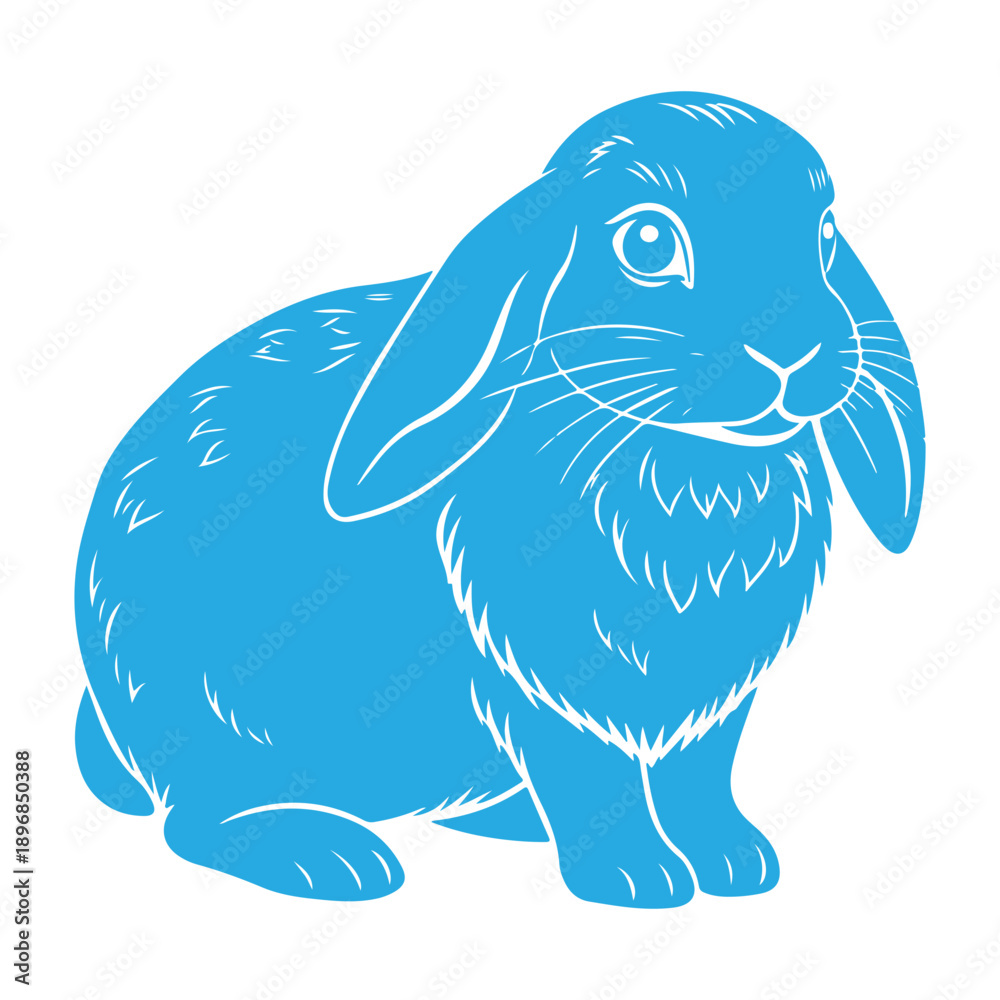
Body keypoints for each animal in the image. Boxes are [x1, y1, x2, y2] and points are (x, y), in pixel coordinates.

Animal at [74, 91, 924, 908]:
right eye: (648, 243)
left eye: (822, 236)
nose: (796, 350)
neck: (685, 461)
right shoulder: (536, 688)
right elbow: (590, 776)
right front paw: (636, 879)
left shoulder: (712, 703)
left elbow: (698, 780)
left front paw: (735, 861)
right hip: (207, 721)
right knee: (197, 821)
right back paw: (329, 857)